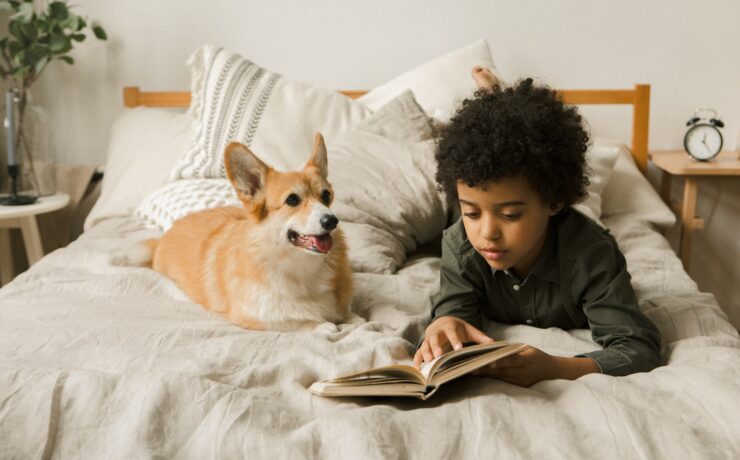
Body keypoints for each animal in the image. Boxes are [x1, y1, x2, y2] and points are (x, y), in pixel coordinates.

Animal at [147, 133, 356, 330]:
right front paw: (324, 325)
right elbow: (300, 321)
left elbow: (354, 318)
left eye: (326, 195)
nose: (331, 221)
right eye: (292, 200)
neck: (302, 267)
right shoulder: (254, 317)